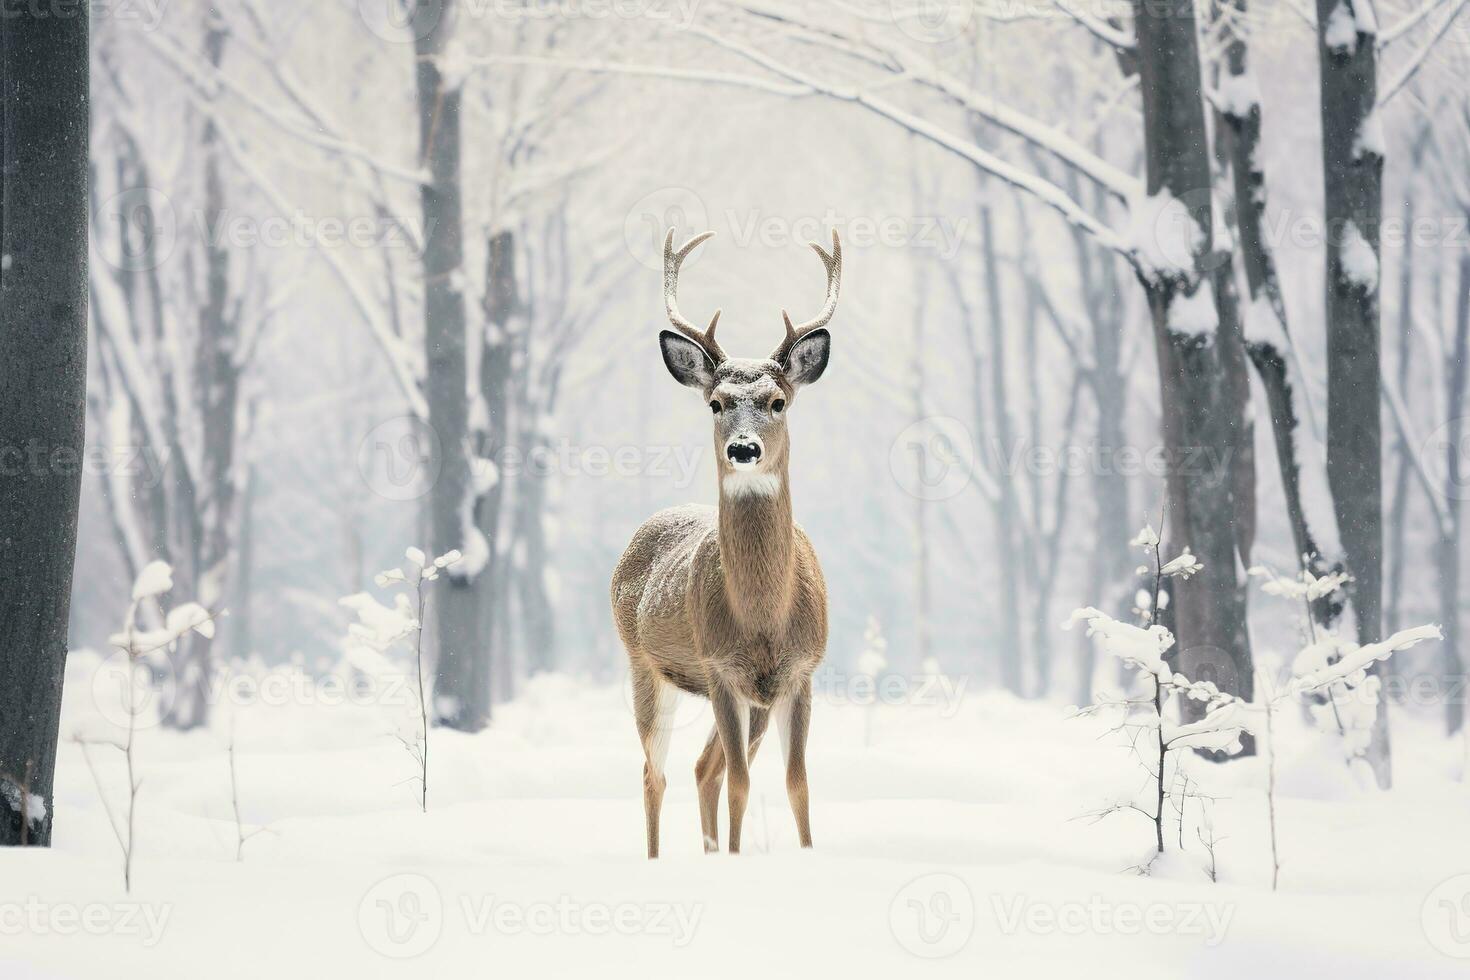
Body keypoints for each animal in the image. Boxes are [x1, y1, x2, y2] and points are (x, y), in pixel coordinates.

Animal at [608, 226, 840, 852]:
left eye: (777, 401)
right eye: (716, 403)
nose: (743, 448)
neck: (763, 618)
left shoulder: (800, 673)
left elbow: (797, 783)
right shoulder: (719, 668)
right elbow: (741, 783)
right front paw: (736, 860)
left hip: (750, 700)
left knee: (701, 768)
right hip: (645, 665)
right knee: (656, 774)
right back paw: (659, 859)